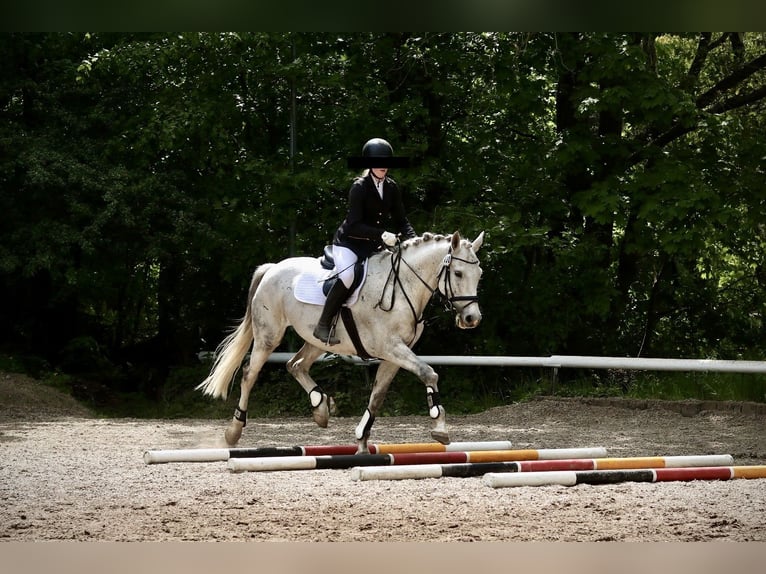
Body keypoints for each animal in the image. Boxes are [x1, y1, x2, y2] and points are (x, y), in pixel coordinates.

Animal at [198, 231, 486, 454]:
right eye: (458, 273)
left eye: (479, 273)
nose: (472, 319)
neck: (403, 285)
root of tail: (272, 268)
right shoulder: (391, 348)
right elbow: (429, 373)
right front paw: (439, 427)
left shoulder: (394, 355)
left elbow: (377, 396)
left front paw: (361, 441)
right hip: (269, 336)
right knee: (250, 374)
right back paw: (233, 432)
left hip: (318, 340)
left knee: (295, 365)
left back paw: (320, 408)